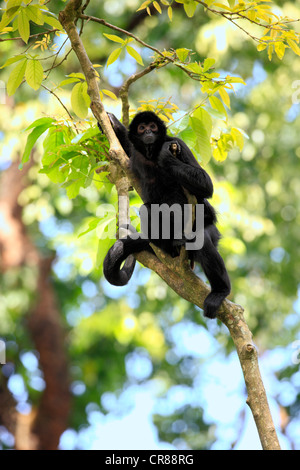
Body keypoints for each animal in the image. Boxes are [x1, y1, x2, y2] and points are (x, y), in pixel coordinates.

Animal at [99, 111, 231, 318]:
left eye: (152, 126)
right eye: (141, 128)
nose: (148, 133)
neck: (151, 154)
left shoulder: (177, 143)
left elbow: (206, 186)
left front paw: (166, 157)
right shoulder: (136, 155)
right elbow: (126, 149)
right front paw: (112, 123)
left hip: (210, 232)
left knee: (201, 236)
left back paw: (220, 291)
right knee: (147, 208)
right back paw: (169, 244)